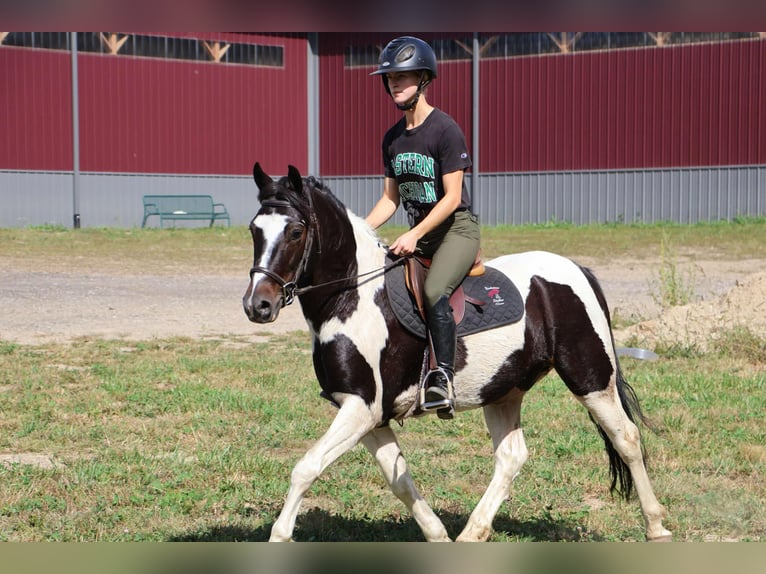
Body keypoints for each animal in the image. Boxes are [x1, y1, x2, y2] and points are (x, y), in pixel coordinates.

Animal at [242, 162, 672, 542]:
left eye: (296, 231)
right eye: (254, 229)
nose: (257, 305)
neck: (353, 297)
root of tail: (576, 269)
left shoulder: (361, 408)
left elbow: (306, 467)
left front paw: (279, 537)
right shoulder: (369, 415)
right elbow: (400, 480)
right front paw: (438, 536)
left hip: (591, 378)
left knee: (626, 438)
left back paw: (657, 526)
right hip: (503, 389)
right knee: (512, 456)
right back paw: (472, 533)